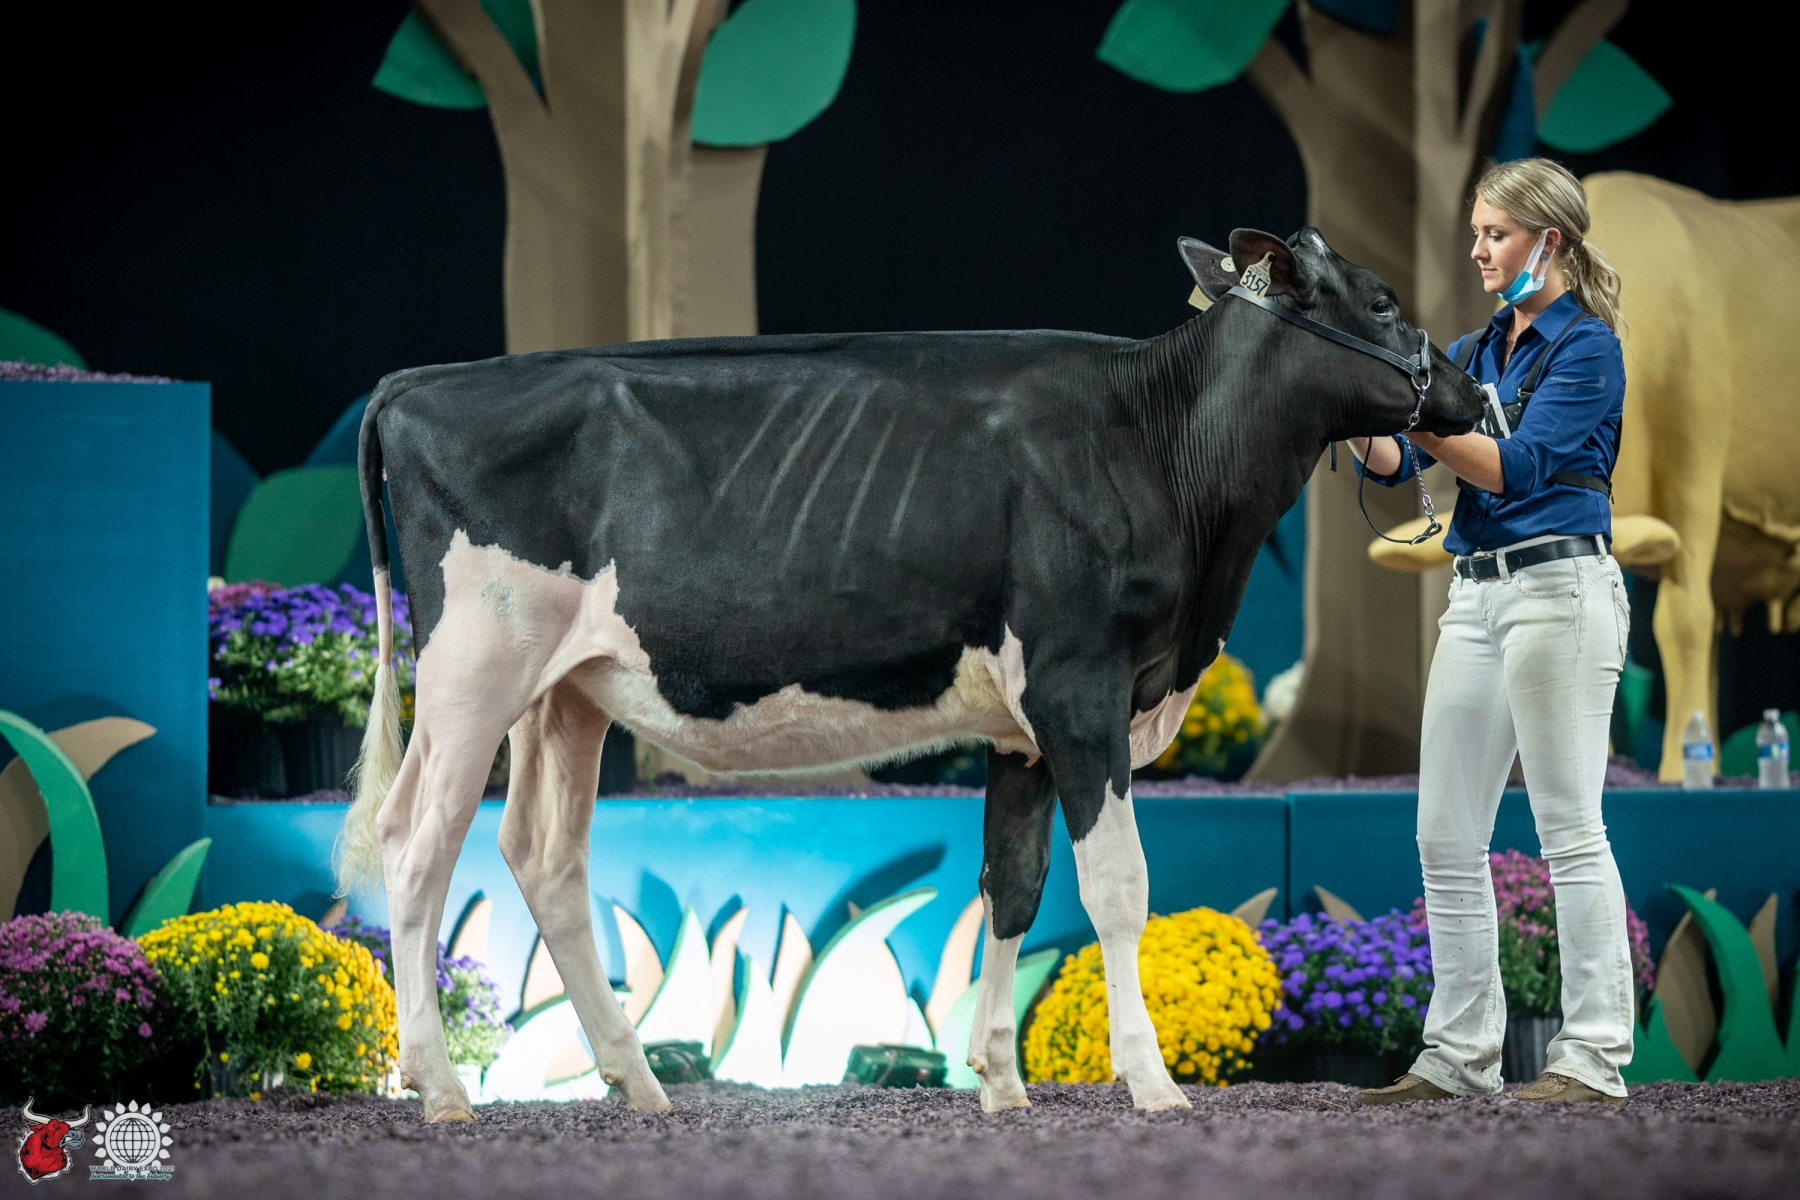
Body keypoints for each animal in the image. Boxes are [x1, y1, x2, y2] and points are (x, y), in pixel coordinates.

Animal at [334, 227, 1485, 1123]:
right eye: (1383, 300)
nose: (1475, 390)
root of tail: (419, 382)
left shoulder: (1025, 726)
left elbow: (1011, 887)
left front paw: (1001, 1085)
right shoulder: (1080, 687)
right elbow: (1117, 888)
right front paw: (1153, 1084)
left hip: (565, 693)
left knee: (543, 855)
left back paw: (638, 1084)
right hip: (471, 673)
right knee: (417, 843)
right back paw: (442, 1088)